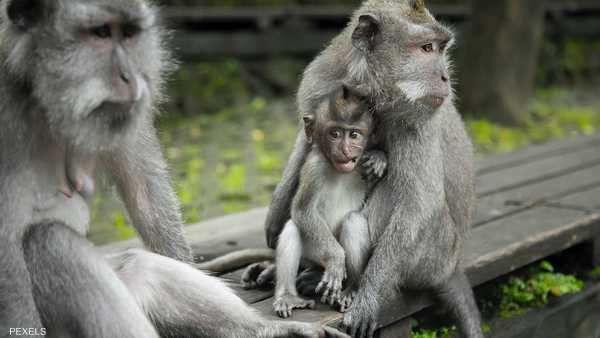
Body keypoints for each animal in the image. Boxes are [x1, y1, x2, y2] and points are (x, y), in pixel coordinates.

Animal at [0, 1, 350, 336]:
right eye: (100, 33)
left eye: (128, 34)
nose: (130, 77)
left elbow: (146, 195)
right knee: (51, 242)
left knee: (136, 267)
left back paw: (264, 330)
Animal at [274, 86, 384, 318]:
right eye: (335, 134)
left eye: (354, 134)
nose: (345, 150)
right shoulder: (314, 167)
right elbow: (303, 210)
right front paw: (335, 258)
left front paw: (379, 158)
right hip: (315, 251)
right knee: (293, 228)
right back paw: (288, 295)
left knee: (353, 220)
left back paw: (351, 288)